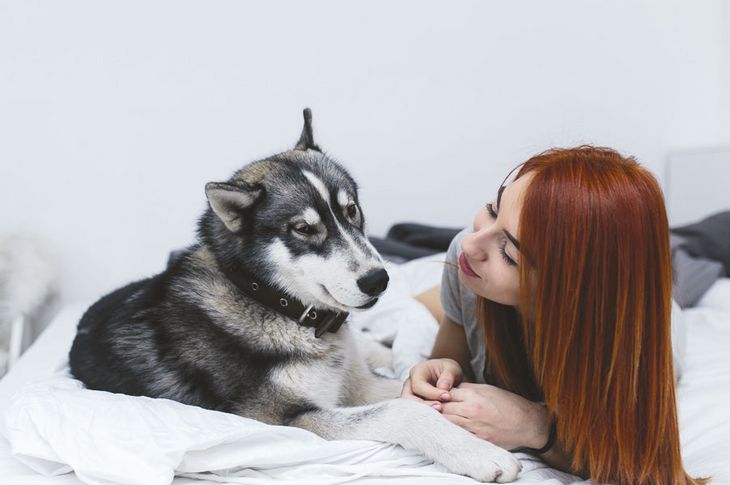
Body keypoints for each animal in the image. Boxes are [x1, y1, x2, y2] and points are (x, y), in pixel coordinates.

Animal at [67, 109, 516, 480]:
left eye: (352, 211)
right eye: (303, 229)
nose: (378, 280)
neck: (274, 303)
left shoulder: (356, 387)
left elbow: (409, 387)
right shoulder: (287, 419)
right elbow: (403, 409)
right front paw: (479, 453)